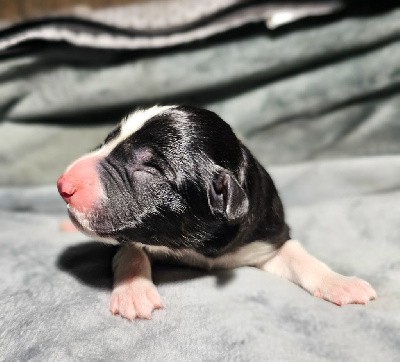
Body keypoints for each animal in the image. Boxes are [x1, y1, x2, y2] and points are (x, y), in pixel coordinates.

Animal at [56, 104, 376, 320]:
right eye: (107, 140)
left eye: (150, 168)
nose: (63, 185)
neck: (195, 245)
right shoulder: (132, 234)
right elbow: (131, 250)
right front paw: (133, 292)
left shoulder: (267, 235)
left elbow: (299, 255)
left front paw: (341, 283)